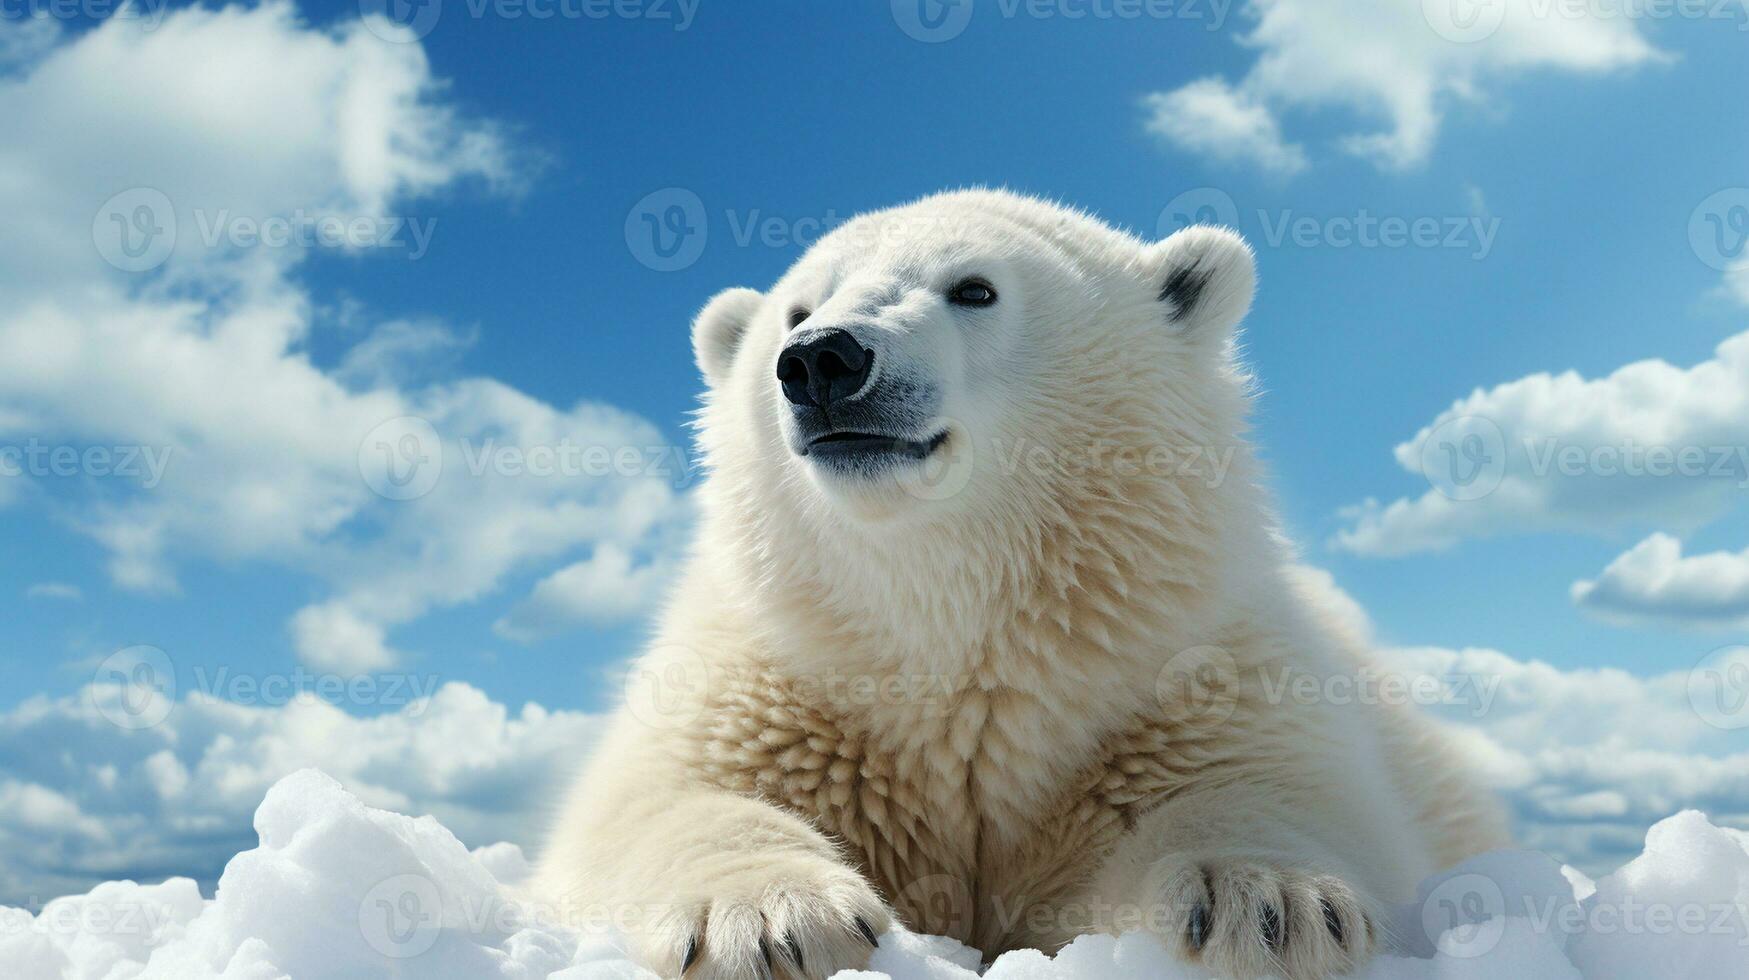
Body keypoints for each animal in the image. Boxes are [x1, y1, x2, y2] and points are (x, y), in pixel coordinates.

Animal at [538, 187, 1511, 973]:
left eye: (974, 288)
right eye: (796, 309)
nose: (822, 359)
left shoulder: (1182, 667)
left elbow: (1277, 785)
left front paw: (1268, 902)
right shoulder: (776, 680)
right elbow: (659, 801)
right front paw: (774, 919)